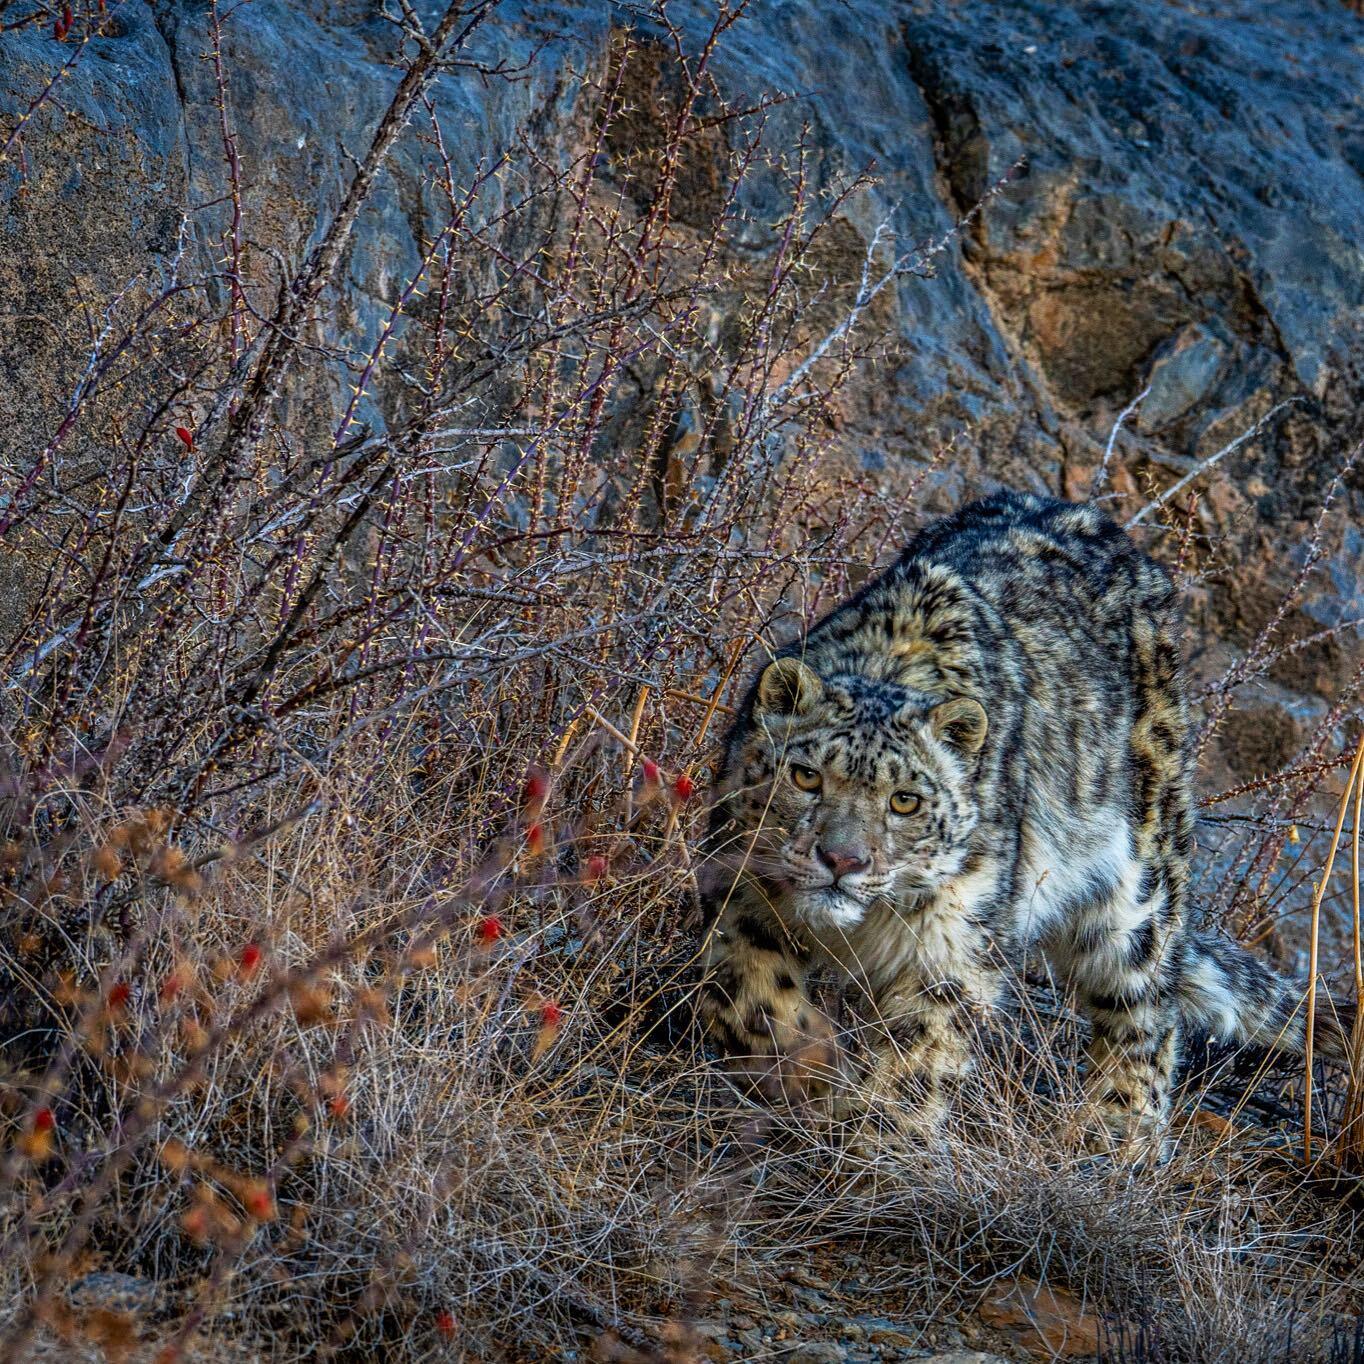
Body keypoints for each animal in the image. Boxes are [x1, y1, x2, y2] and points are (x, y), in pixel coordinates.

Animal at [698, 491, 1347, 1151]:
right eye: (806, 777)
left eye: (905, 801)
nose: (841, 860)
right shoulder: (743, 887)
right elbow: (750, 998)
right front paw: (809, 1066)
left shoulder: (956, 945)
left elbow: (918, 1057)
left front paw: (881, 1139)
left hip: (1139, 884)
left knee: (1144, 1006)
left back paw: (1116, 1134)